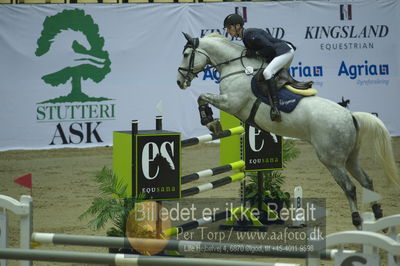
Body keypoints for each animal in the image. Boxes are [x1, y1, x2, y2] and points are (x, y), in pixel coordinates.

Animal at [177, 32, 398, 229]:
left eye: (186, 54)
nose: (180, 82)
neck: (237, 68)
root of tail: (351, 116)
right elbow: (203, 97)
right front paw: (211, 121)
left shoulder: (231, 103)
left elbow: (202, 97)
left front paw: (210, 121)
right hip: (351, 157)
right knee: (367, 181)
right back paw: (379, 219)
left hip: (332, 160)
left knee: (350, 188)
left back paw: (358, 222)